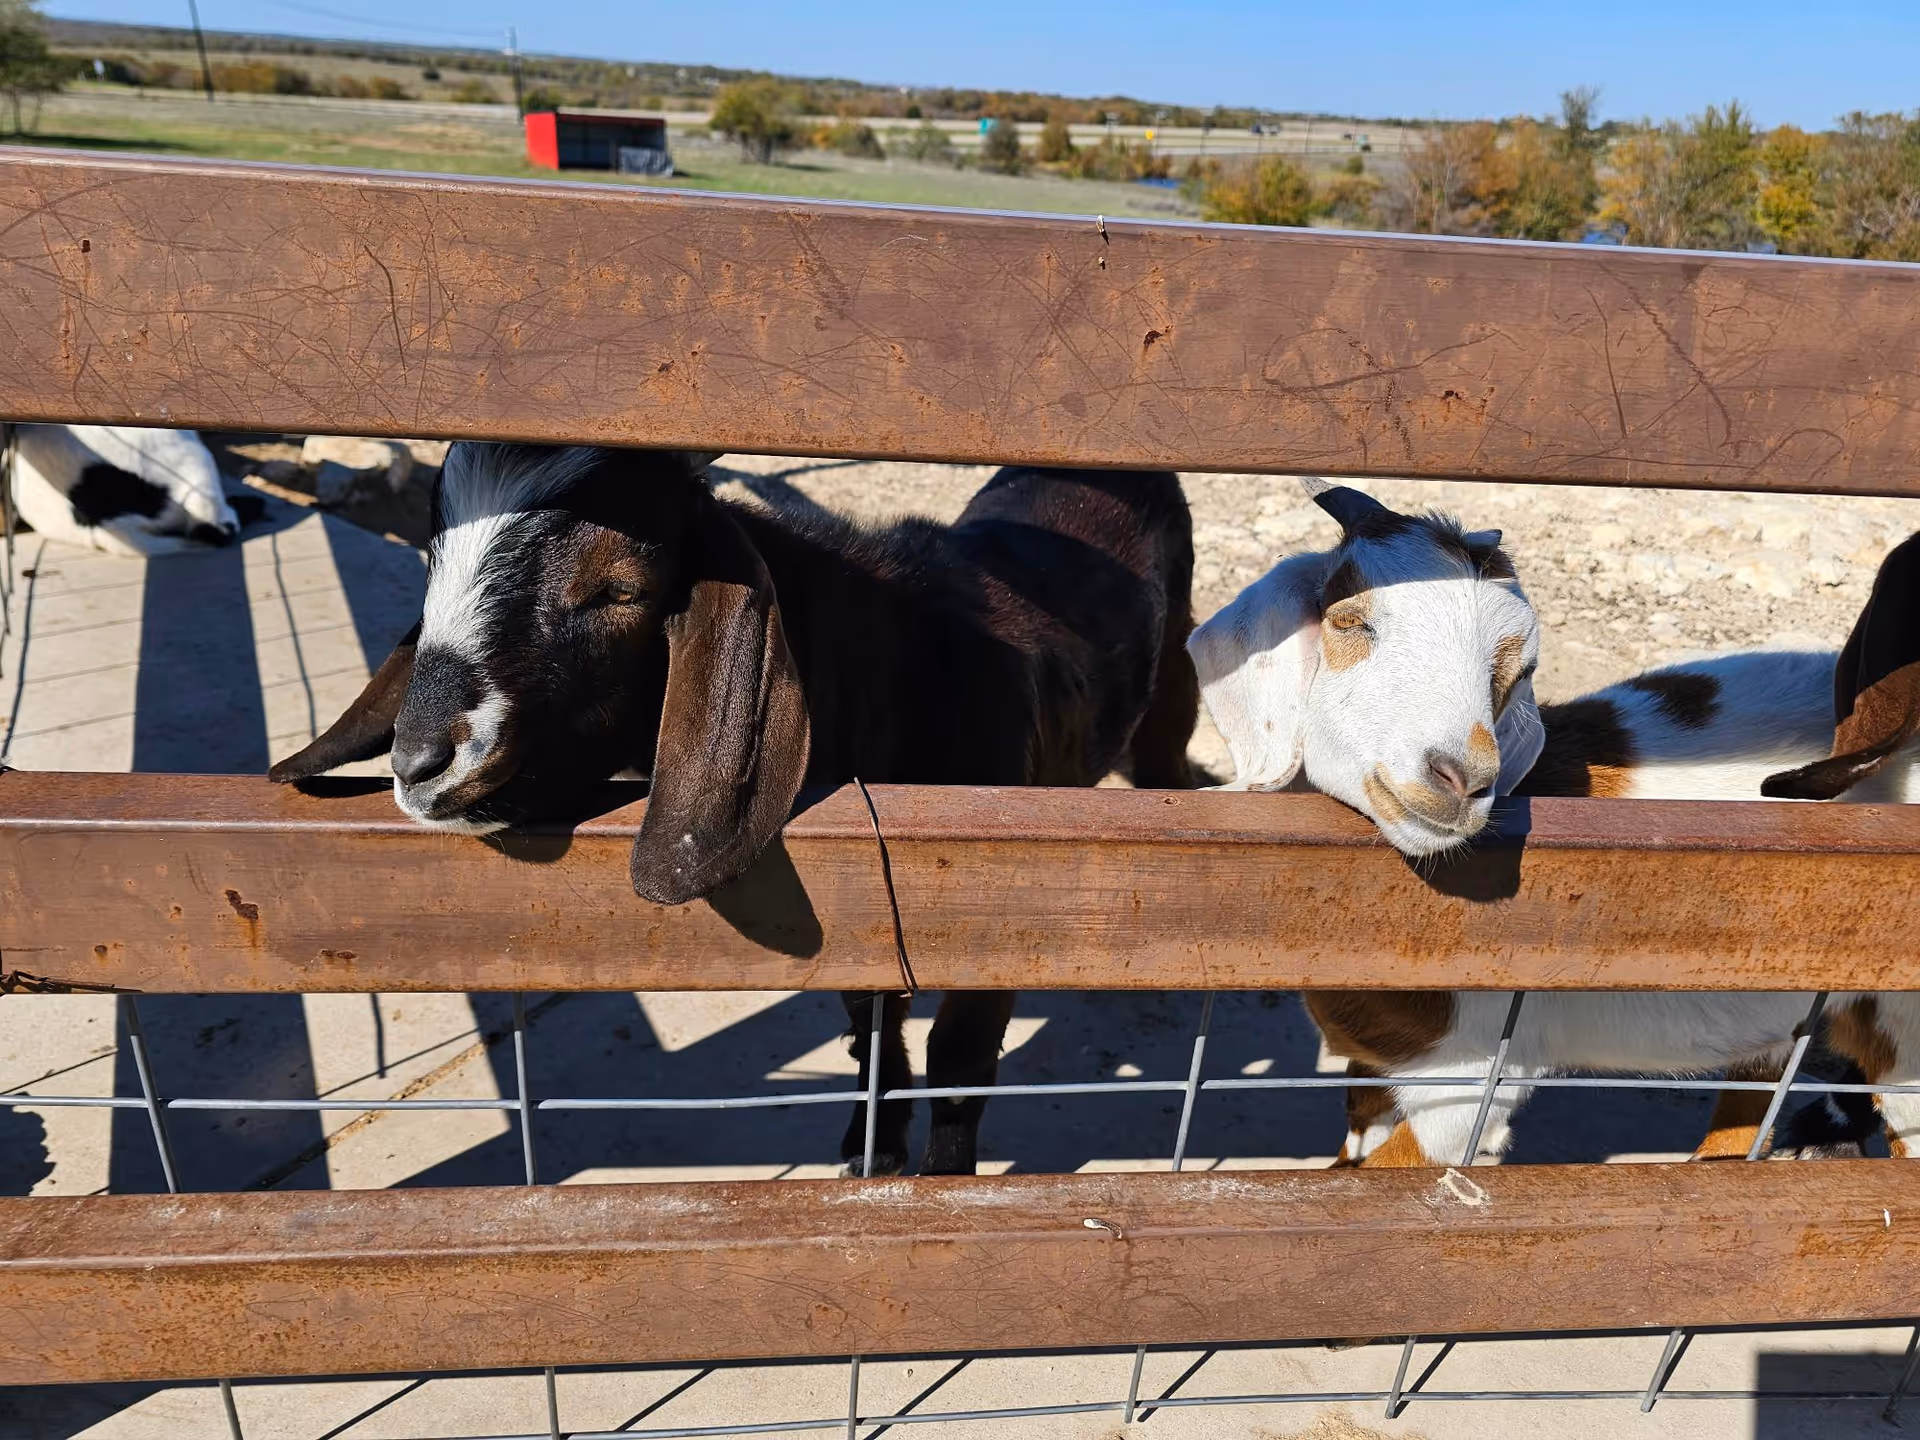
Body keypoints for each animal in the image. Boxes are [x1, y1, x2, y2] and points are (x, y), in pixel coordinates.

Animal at [271, 443, 1200, 1176]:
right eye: (431, 563)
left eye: (618, 589)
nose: (420, 762)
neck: (908, 672)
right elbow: (871, 1024)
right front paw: (872, 1149)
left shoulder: (996, 919)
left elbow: (959, 1060)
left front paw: (940, 1185)